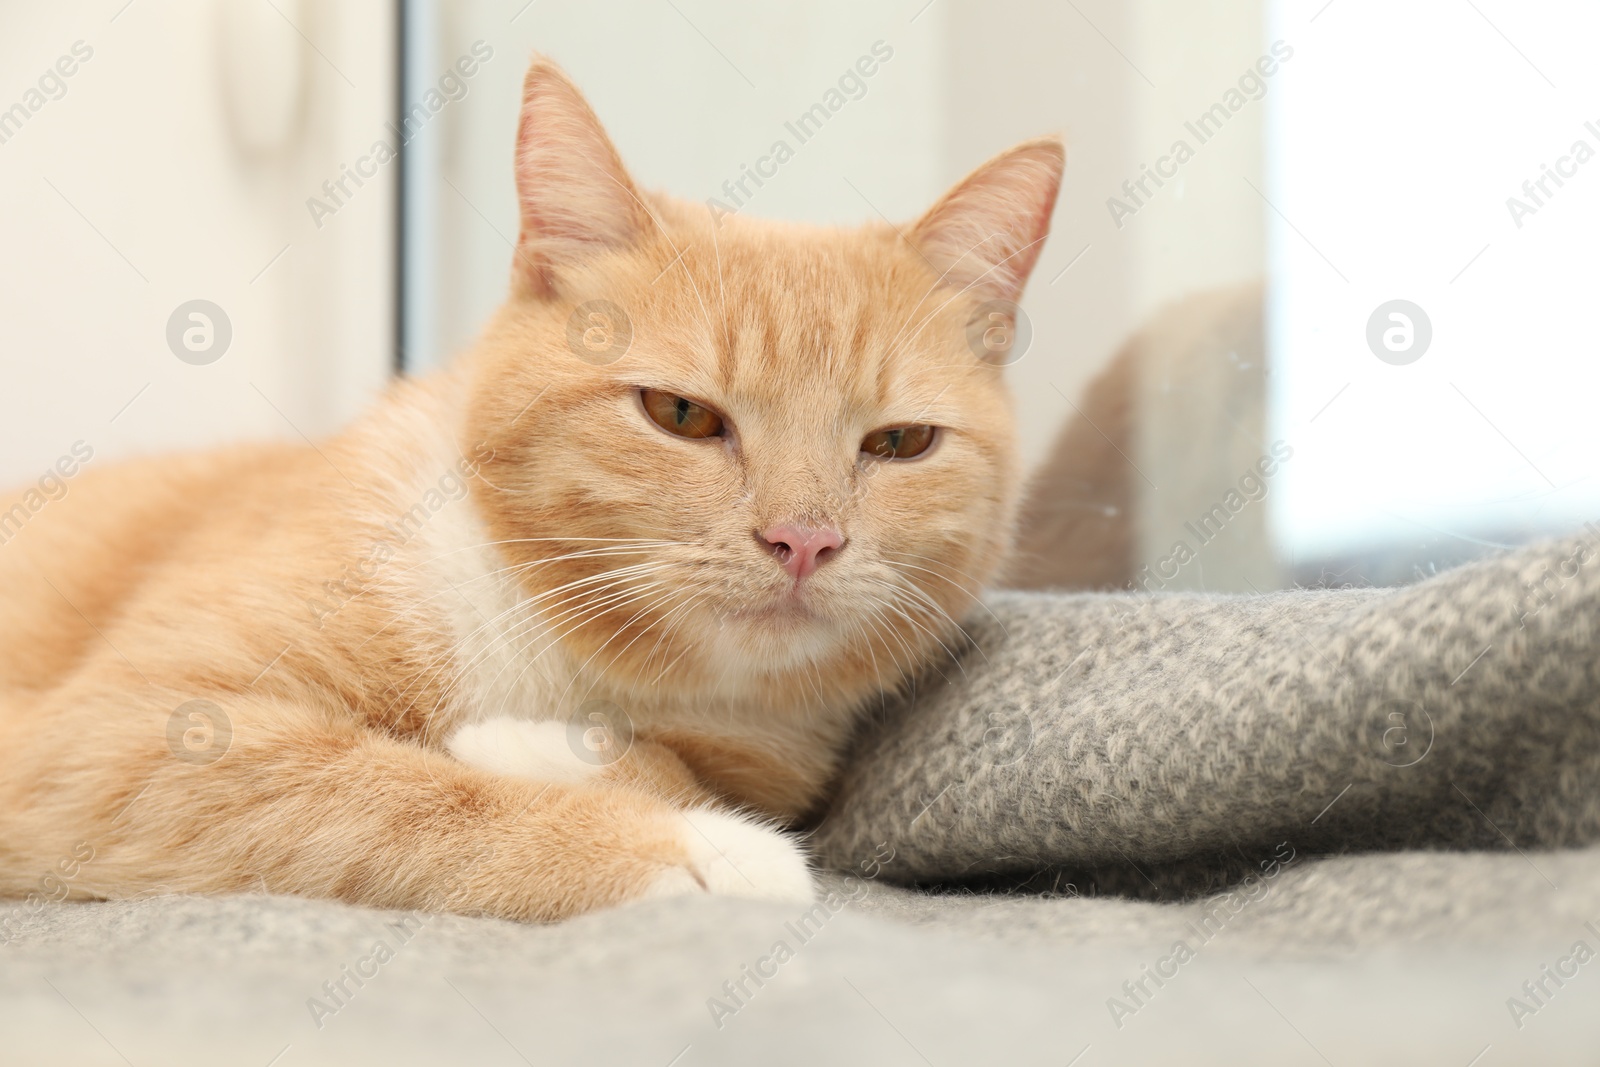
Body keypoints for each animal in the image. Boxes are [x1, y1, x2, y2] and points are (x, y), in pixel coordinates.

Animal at [0, 58, 1062, 921]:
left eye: (901, 442)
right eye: (682, 414)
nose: (804, 540)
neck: (568, 660)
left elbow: (676, 761)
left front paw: (572, 753)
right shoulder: (114, 738)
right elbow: (389, 796)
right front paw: (694, 847)